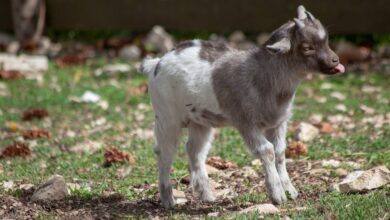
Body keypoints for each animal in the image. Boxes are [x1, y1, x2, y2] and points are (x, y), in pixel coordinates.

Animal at [139, 5, 344, 208]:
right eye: (307, 47)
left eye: (326, 40)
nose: (335, 61)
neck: (263, 75)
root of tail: (156, 63)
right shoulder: (246, 122)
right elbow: (267, 150)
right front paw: (277, 195)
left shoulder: (278, 123)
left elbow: (280, 151)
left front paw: (290, 191)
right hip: (166, 117)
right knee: (165, 152)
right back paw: (168, 200)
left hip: (200, 120)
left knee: (194, 150)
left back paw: (207, 195)